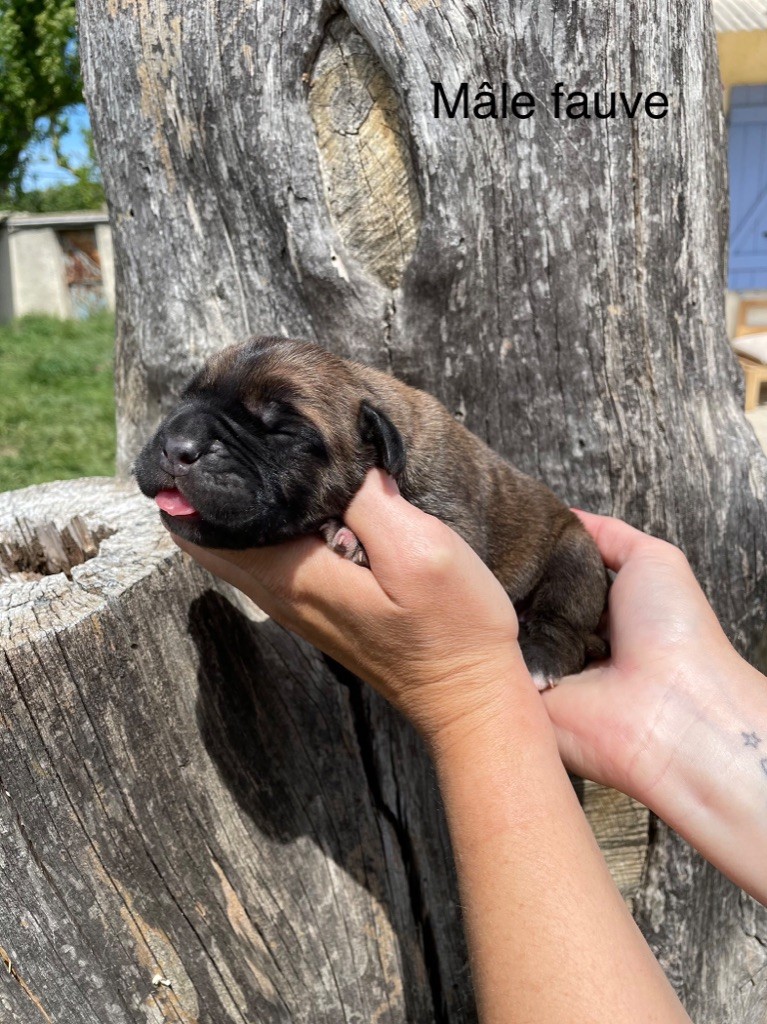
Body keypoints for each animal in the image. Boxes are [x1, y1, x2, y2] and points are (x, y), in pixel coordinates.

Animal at [134, 337, 606, 688]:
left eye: (282, 431)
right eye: (185, 398)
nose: (177, 445)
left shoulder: (454, 525)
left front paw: (353, 538)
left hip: (574, 556)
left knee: (563, 620)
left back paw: (540, 658)